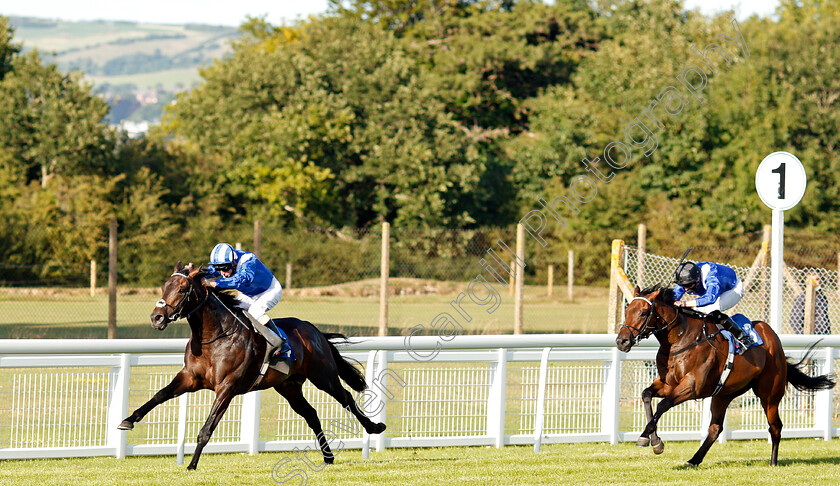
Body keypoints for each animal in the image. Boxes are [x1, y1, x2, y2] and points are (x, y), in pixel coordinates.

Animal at [117, 262, 388, 470]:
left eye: (182, 289)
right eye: (164, 287)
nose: (156, 318)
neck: (213, 338)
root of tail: (313, 329)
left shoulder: (226, 387)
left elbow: (207, 429)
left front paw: (192, 465)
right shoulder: (189, 378)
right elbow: (159, 396)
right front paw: (128, 420)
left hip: (323, 376)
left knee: (347, 398)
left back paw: (374, 427)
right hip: (289, 387)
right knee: (311, 414)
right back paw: (328, 456)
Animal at [616, 284, 832, 468]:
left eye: (644, 312)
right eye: (627, 311)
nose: (621, 341)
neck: (681, 338)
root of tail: (775, 341)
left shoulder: (692, 387)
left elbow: (663, 405)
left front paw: (648, 438)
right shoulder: (667, 384)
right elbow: (646, 395)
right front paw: (653, 440)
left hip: (769, 395)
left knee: (775, 427)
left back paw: (773, 463)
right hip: (723, 394)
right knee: (715, 428)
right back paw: (694, 460)